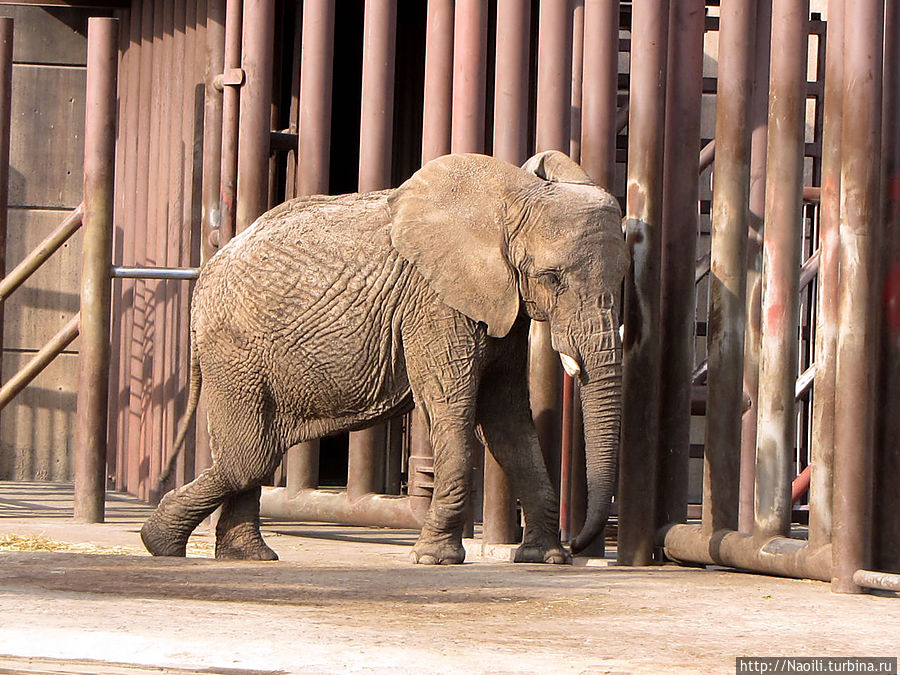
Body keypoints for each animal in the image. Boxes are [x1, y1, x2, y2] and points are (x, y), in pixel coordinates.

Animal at [141, 149, 628, 564]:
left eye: (624, 277)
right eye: (551, 277)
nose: (579, 543)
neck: (509, 197)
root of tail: (207, 271)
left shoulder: (500, 303)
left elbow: (507, 418)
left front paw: (544, 558)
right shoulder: (434, 301)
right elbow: (453, 406)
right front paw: (434, 559)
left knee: (251, 455)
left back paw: (246, 556)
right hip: (233, 348)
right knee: (250, 458)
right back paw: (160, 543)